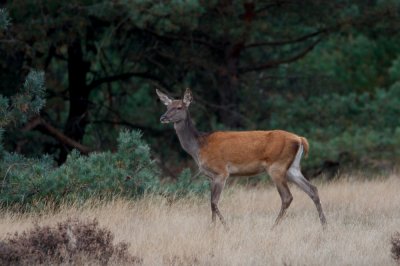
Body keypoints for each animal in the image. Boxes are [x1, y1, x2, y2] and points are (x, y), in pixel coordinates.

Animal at [155, 88, 326, 228]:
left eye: (179, 107)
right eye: (167, 106)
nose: (162, 117)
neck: (199, 147)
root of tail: (300, 139)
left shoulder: (222, 172)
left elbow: (214, 202)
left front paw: (225, 227)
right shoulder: (211, 176)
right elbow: (210, 202)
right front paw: (212, 227)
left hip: (277, 166)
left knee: (287, 197)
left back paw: (273, 227)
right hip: (292, 168)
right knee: (313, 189)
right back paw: (324, 225)